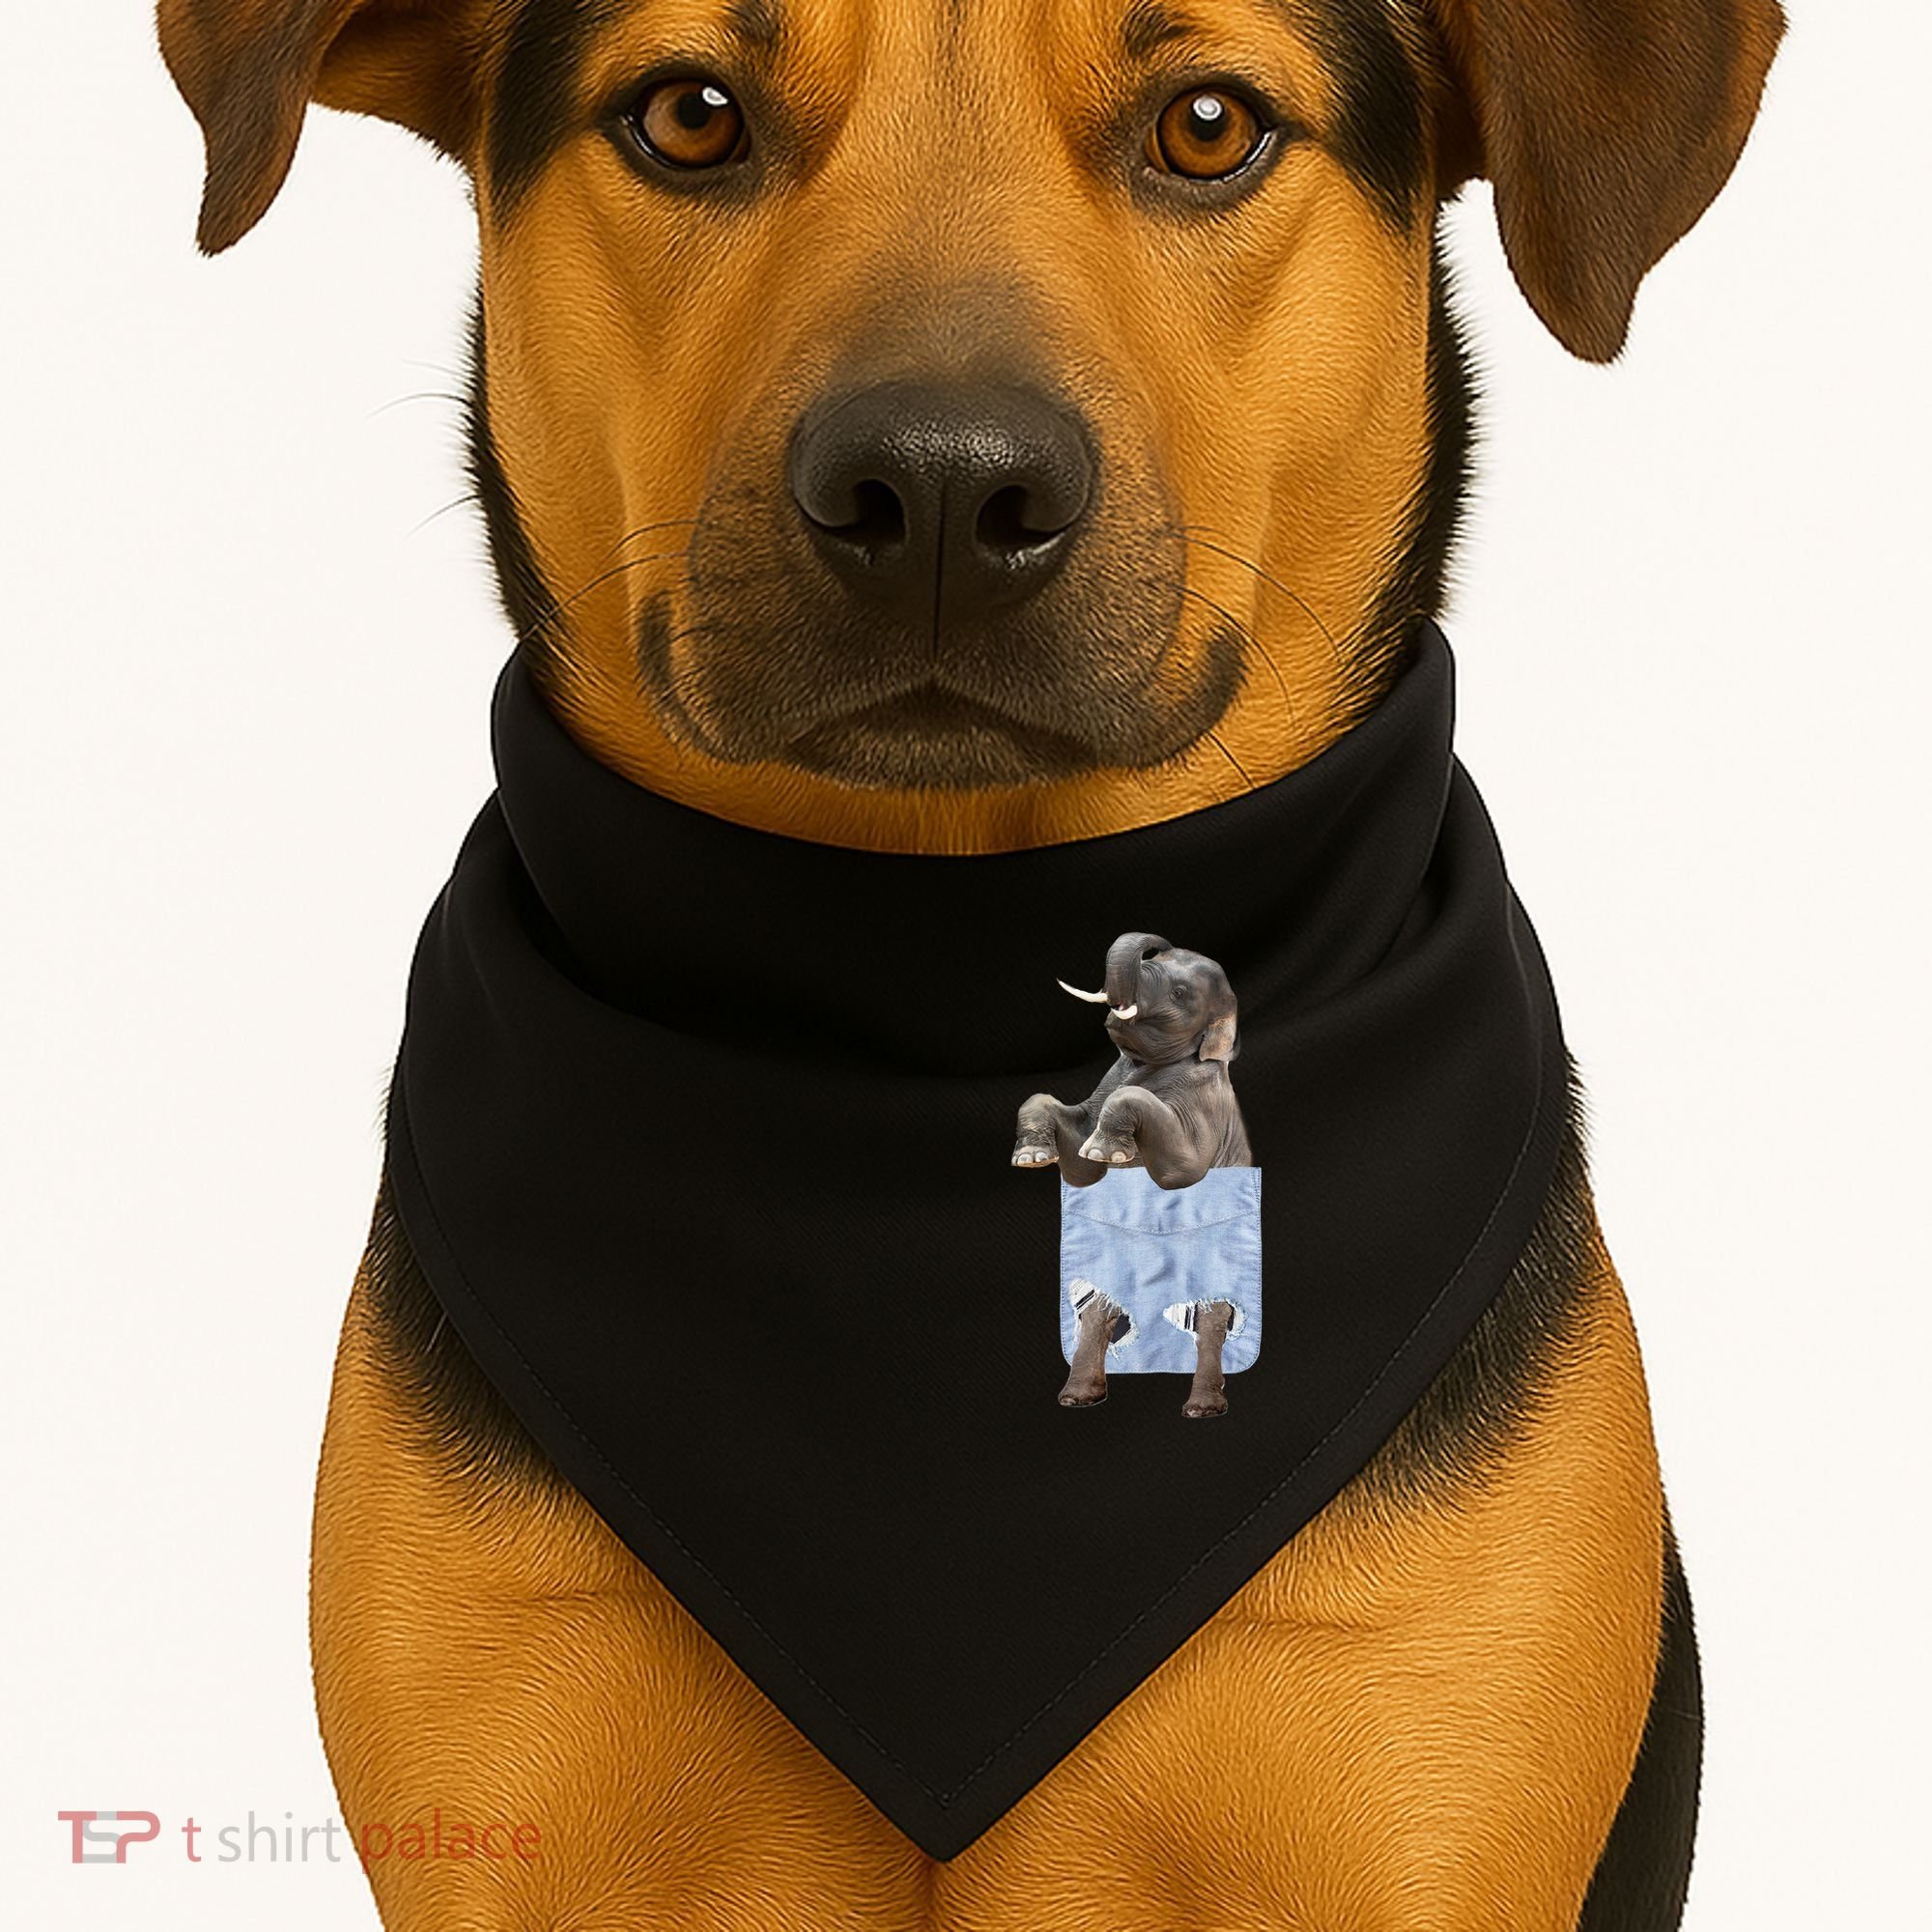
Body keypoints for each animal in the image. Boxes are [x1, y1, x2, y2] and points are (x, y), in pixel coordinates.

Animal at [1012, 932, 1253, 1416]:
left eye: (1179, 994)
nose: (1153, 943)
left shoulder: (1203, 1106)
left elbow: (1180, 1169)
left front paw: (1110, 1150)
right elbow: (1080, 1165)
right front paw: (1033, 1158)